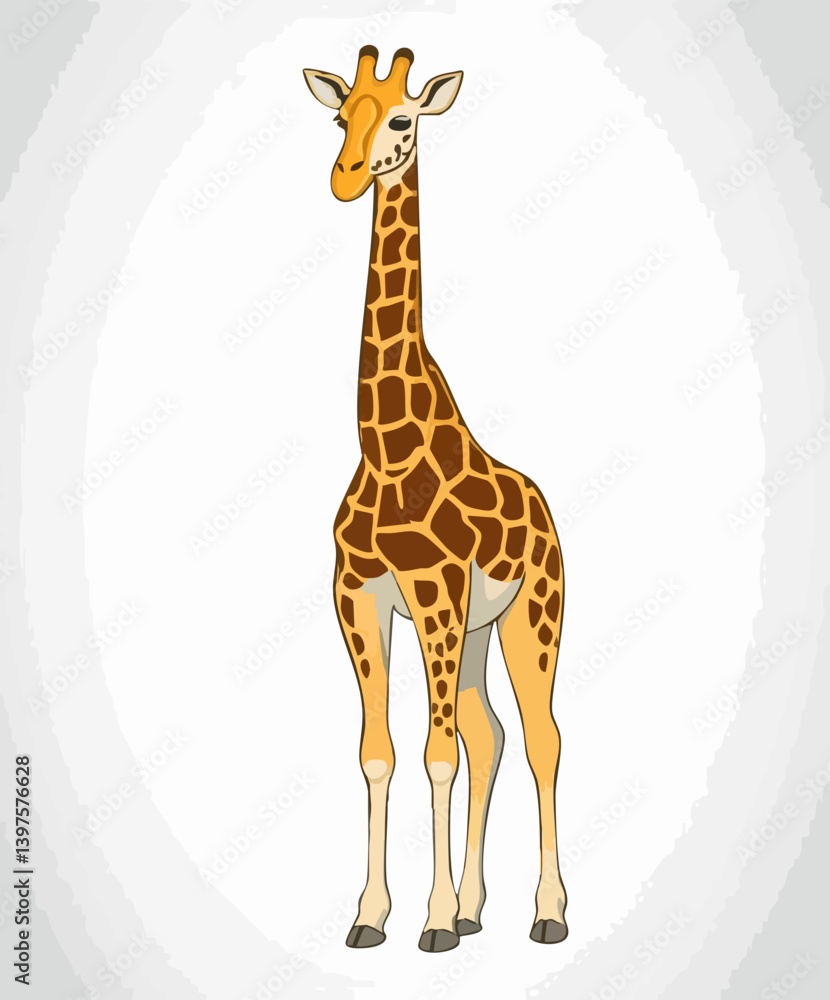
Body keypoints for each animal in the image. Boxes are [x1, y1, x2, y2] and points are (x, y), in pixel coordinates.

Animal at [304, 46, 567, 953]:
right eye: (340, 114)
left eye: (402, 119)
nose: (346, 178)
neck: (384, 449)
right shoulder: (360, 595)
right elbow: (380, 752)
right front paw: (372, 916)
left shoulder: (437, 592)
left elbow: (437, 753)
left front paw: (436, 921)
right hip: (481, 628)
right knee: (491, 736)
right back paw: (484, 907)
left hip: (531, 617)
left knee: (540, 739)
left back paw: (545, 912)